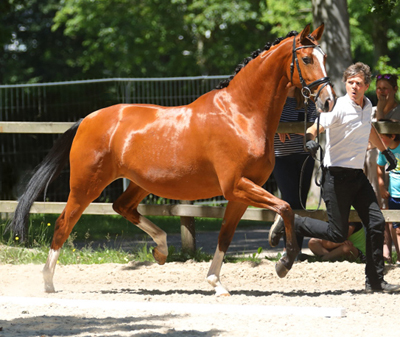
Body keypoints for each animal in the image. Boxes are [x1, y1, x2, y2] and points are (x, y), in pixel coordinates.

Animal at [8, 23, 334, 296]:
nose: (328, 100)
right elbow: (286, 208)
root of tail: (87, 119)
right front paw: (284, 263)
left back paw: (161, 250)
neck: (241, 114)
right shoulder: (236, 186)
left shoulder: (240, 192)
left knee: (122, 207)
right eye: (307, 59)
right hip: (86, 185)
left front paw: (216, 284)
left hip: (139, 183)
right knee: (64, 223)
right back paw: (48, 283)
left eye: (324, 57)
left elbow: (226, 236)